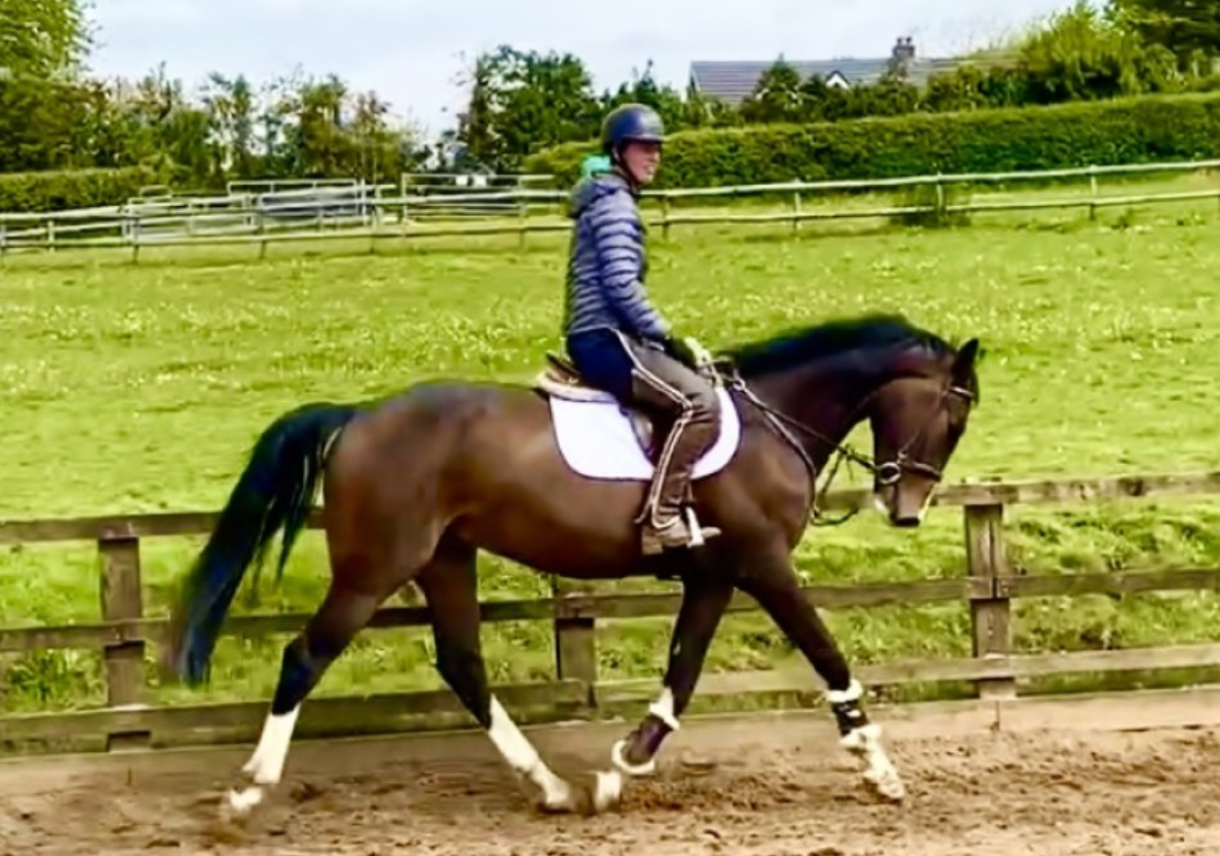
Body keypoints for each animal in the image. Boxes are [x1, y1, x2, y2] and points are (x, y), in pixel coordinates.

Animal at [162, 313, 982, 818]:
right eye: (955, 415)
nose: (907, 508)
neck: (770, 422)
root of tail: (359, 415)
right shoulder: (763, 565)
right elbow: (826, 653)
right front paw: (878, 769)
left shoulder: (714, 574)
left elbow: (683, 673)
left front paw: (620, 770)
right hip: (375, 568)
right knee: (306, 657)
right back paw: (248, 794)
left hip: (446, 558)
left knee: (462, 664)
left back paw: (550, 787)